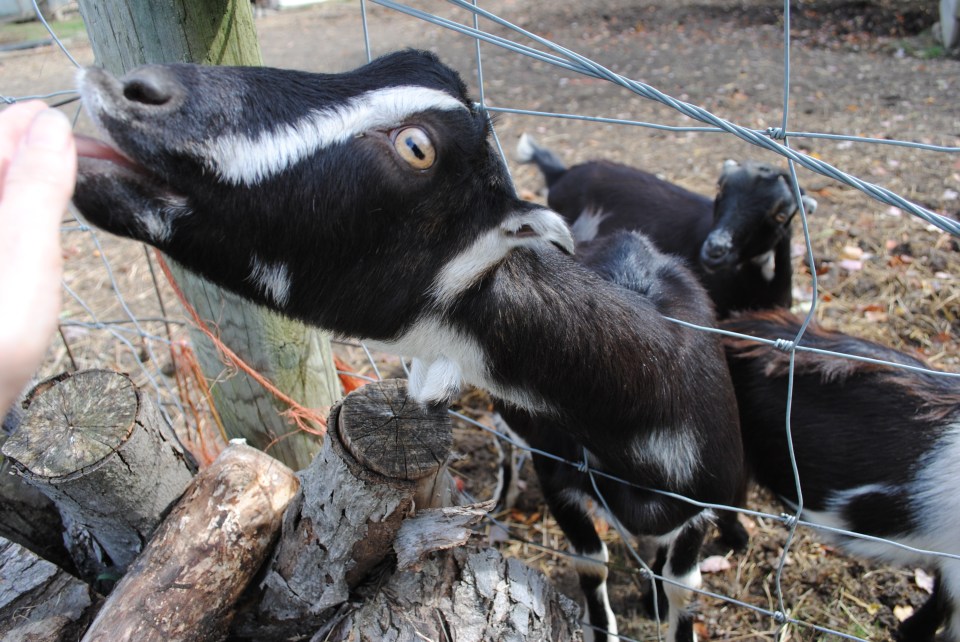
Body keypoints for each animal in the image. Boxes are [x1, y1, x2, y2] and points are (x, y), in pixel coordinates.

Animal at [71, 50, 743, 642]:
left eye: (417, 148)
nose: (136, 90)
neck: (645, 415)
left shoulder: (699, 508)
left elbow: (682, 585)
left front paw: (661, 600)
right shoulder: (560, 479)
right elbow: (591, 562)